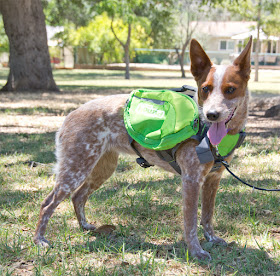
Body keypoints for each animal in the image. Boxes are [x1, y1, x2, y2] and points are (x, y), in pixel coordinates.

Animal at [34, 37, 253, 260]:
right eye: (205, 89)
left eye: (230, 89)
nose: (211, 114)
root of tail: (69, 116)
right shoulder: (191, 180)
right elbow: (191, 222)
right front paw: (195, 251)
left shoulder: (212, 179)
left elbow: (207, 216)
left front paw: (212, 239)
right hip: (75, 170)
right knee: (47, 204)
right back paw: (39, 239)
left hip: (102, 168)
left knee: (78, 196)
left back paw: (85, 226)